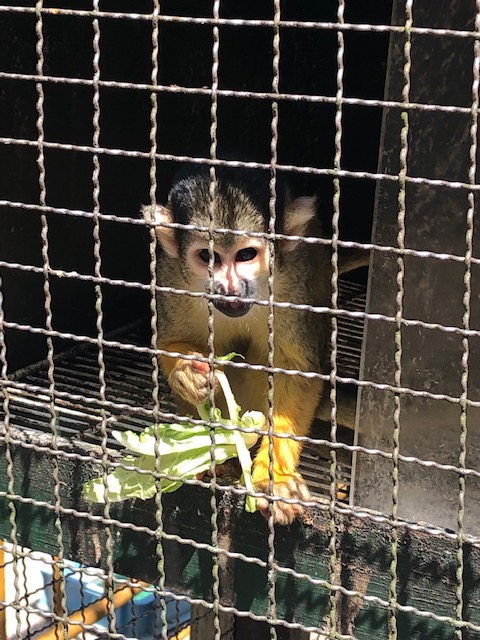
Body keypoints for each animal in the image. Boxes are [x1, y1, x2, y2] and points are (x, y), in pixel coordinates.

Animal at [144, 164, 362, 524]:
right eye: (208, 256)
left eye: (246, 255)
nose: (229, 287)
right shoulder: (171, 274)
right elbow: (168, 341)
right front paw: (187, 372)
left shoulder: (293, 283)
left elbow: (294, 369)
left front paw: (276, 479)